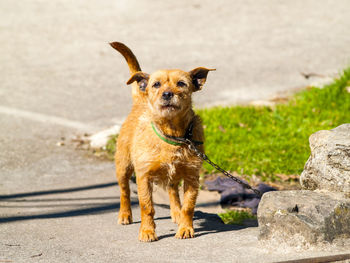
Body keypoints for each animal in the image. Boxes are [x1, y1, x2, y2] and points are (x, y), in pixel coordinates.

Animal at [110, 42, 213, 242]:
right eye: (156, 84)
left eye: (181, 83)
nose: (167, 94)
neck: (172, 135)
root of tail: (140, 100)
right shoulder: (143, 176)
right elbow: (146, 206)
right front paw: (147, 231)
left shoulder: (192, 177)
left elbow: (188, 205)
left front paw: (185, 228)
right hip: (123, 166)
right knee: (124, 191)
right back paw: (125, 214)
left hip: (174, 175)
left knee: (172, 191)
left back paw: (176, 213)